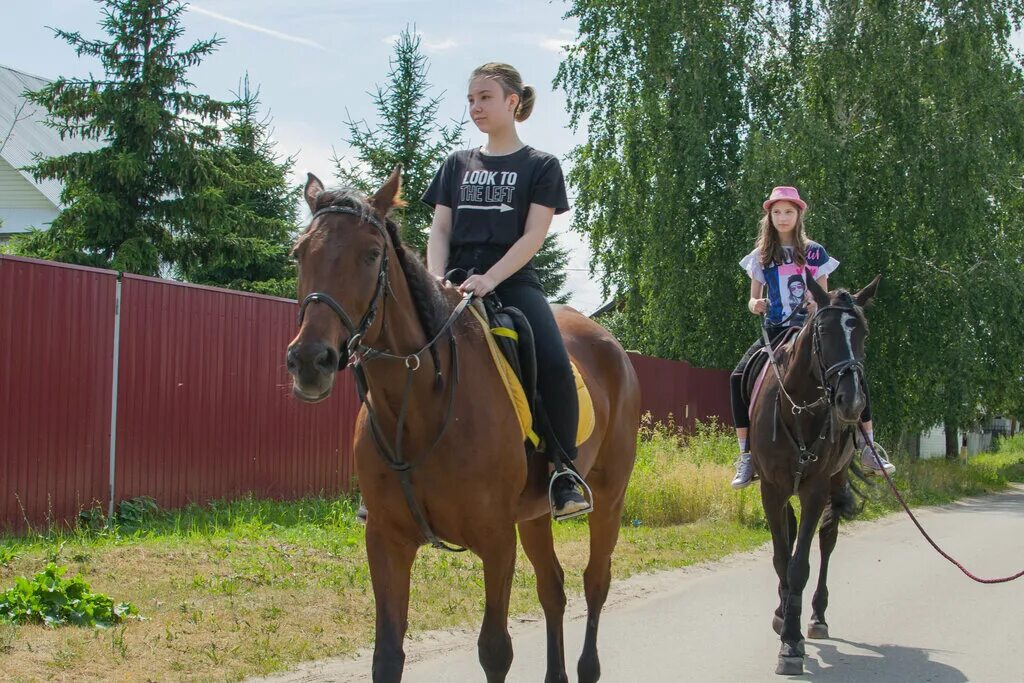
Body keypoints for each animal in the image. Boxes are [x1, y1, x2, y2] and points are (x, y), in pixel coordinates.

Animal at [284, 166, 643, 683]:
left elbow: (494, 650)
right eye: (299, 253)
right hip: (535, 514)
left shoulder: (496, 540)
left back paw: (587, 667)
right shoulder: (386, 541)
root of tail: (615, 346)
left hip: (609, 499)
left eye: (371, 255)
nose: (311, 360)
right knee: (553, 589)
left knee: (595, 582)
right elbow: (387, 655)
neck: (418, 408)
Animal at [745, 274, 880, 679]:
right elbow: (780, 557)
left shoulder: (816, 490)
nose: (852, 402)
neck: (799, 406)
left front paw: (791, 643)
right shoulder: (772, 489)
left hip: (834, 483)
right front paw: (782, 619)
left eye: (863, 331)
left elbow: (800, 564)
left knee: (828, 538)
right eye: (823, 329)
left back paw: (817, 616)